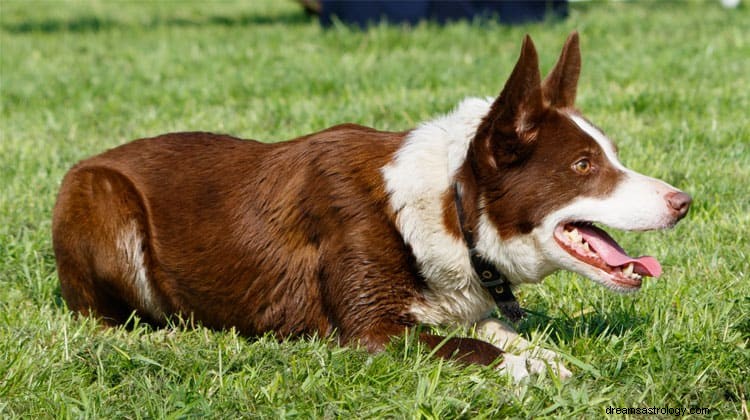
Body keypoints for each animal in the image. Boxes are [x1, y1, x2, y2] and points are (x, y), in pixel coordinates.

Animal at [51, 33, 692, 380]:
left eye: (612, 154)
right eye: (584, 165)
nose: (684, 202)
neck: (449, 205)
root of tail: (89, 159)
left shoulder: (463, 305)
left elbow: (499, 331)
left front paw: (548, 357)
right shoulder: (371, 332)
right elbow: (476, 348)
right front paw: (535, 370)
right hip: (104, 205)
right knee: (106, 318)